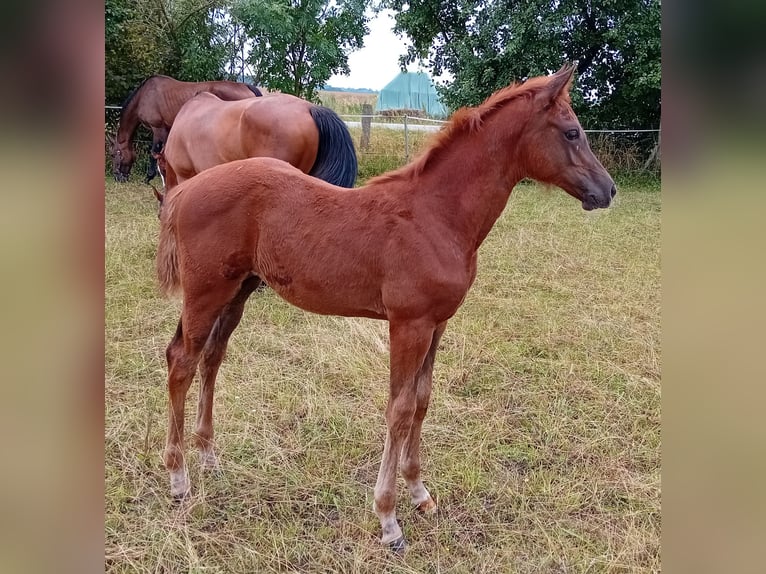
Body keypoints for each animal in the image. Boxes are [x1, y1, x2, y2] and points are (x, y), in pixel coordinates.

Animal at [110, 75, 262, 183]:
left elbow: (153, 152)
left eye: (113, 154)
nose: (117, 177)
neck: (145, 95)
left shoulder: (157, 128)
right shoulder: (168, 130)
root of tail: (246, 86)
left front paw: (148, 177)